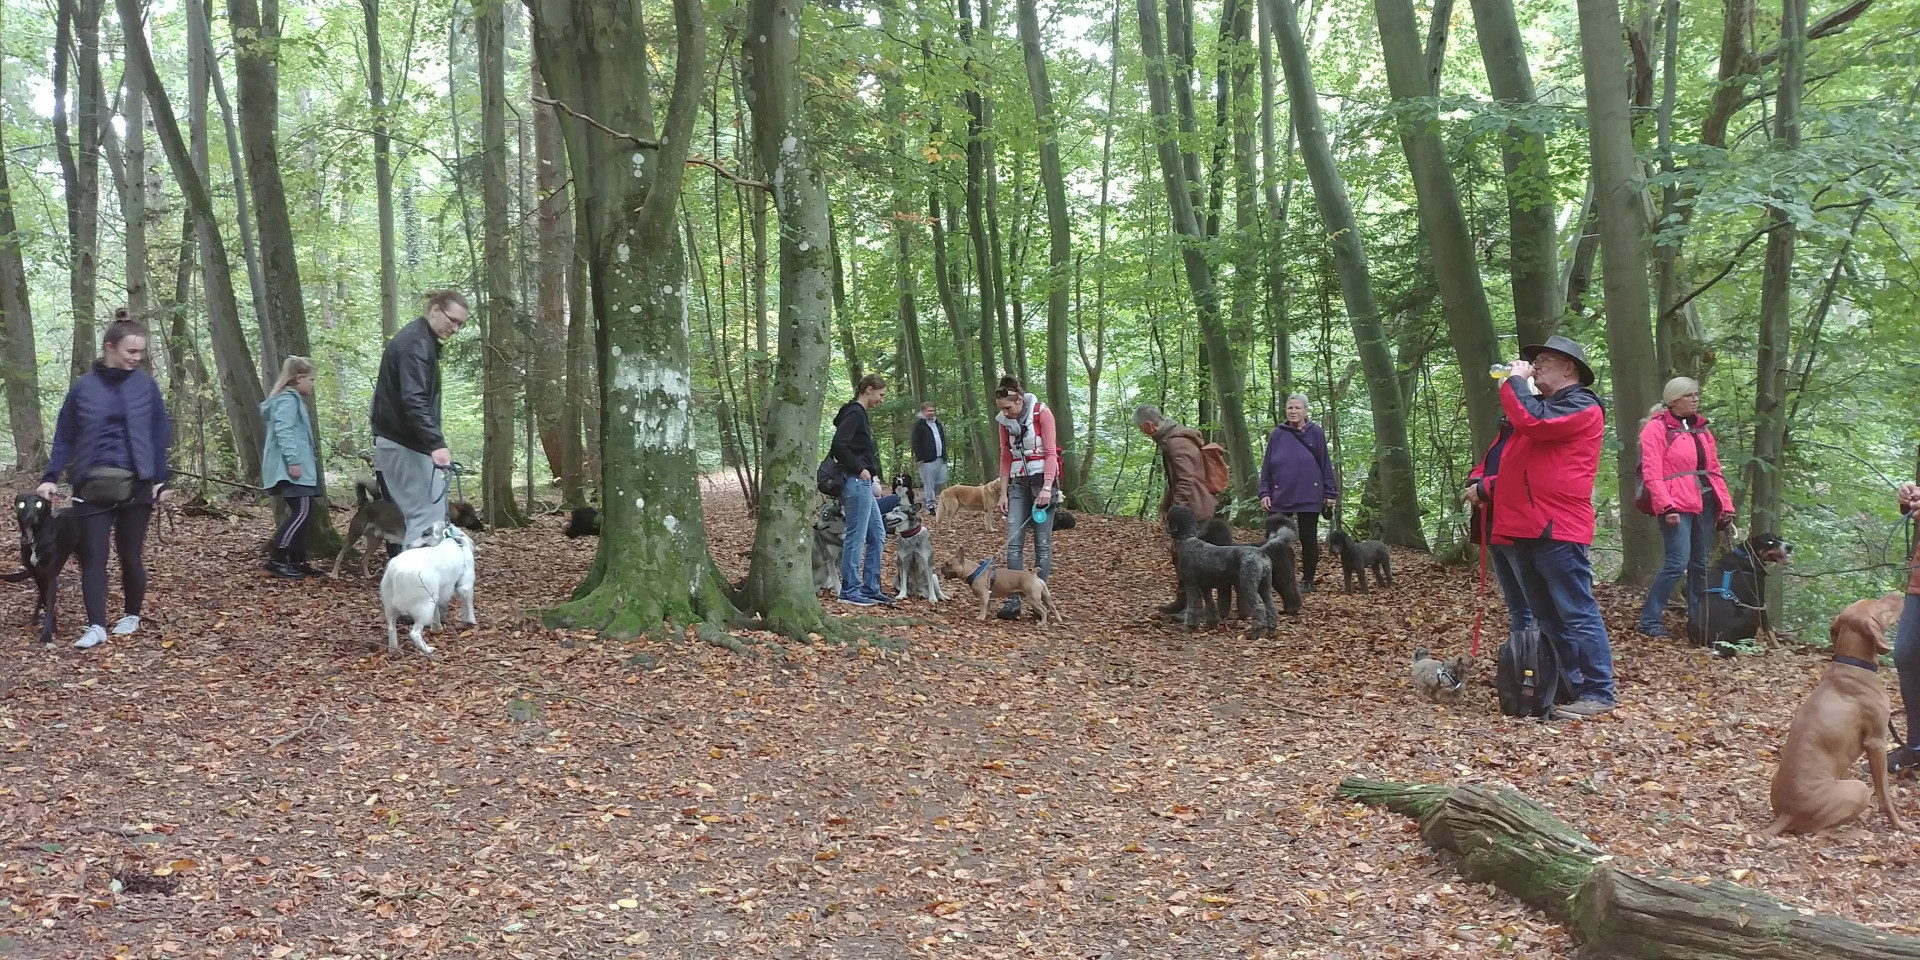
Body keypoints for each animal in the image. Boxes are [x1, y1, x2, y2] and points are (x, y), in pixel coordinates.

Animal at [4, 494, 79, 643]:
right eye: (21, 504)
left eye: (39, 504)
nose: (30, 517)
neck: (36, 537)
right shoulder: (37, 573)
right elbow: (44, 598)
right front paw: (46, 622)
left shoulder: (49, 576)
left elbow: (49, 603)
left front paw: (47, 633)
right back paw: (33, 619)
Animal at [379, 522, 477, 655]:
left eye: (424, 534)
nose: (408, 545)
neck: (453, 540)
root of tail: (395, 570)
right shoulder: (465, 585)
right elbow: (469, 606)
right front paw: (471, 621)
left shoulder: (437, 595)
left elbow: (436, 615)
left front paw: (437, 628)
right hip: (424, 607)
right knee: (414, 633)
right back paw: (427, 649)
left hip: (390, 608)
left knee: (391, 628)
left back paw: (393, 649)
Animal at [1167, 506, 1278, 640]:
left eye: (1170, 518)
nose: (1167, 529)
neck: (1189, 539)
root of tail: (1260, 552)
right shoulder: (1205, 587)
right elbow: (1210, 605)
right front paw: (1212, 624)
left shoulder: (1191, 584)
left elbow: (1194, 606)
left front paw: (1191, 626)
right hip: (1265, 586)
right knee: (1271, 608)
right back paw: (1271, 631)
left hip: (1248, 585)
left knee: (1259, 609)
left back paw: (1255, 634)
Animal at [1761, 592, 1906, 836]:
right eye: (1879, 605)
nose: (1900, 594)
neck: (1853, 665)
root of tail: (1786, 814)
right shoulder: (1876, 742)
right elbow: (1885, 794)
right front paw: (1899, 823)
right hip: (1859, 788)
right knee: (1822, 832)